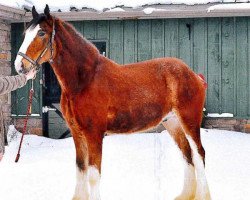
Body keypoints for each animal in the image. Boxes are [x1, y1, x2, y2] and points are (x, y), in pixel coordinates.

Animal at [14, 4, 211, 200]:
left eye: (41, 33)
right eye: (25, 33)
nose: (20, 66)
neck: (85, 80)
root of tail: (193, 75)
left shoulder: (94, 133)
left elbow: (93, 176)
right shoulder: (77, 133)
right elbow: (80, 170)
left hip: (189, 121)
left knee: (199, 154)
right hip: (172, 122)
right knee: (187, 155)